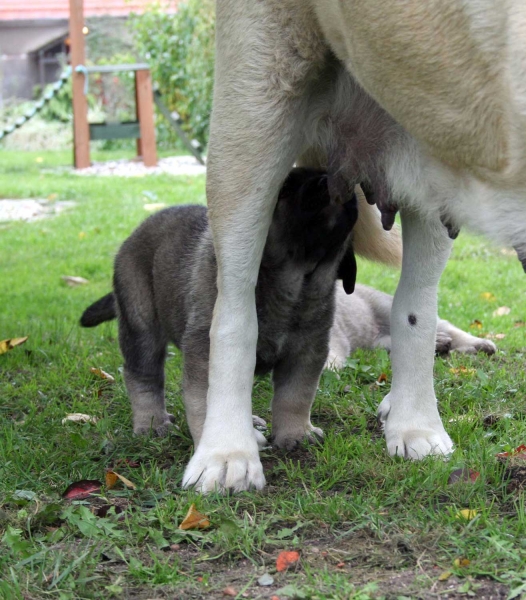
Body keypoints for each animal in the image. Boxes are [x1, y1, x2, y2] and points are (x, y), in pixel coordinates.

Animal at [82, 169, 360, 450]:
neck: (294, 286)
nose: (329, 180)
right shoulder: (210, 351)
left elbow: (296, 396)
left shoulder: (306, 353)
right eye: (287, 188)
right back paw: (152, 422)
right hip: (141, 323)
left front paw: (296, 434)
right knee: (142, 376)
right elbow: (208, 402)